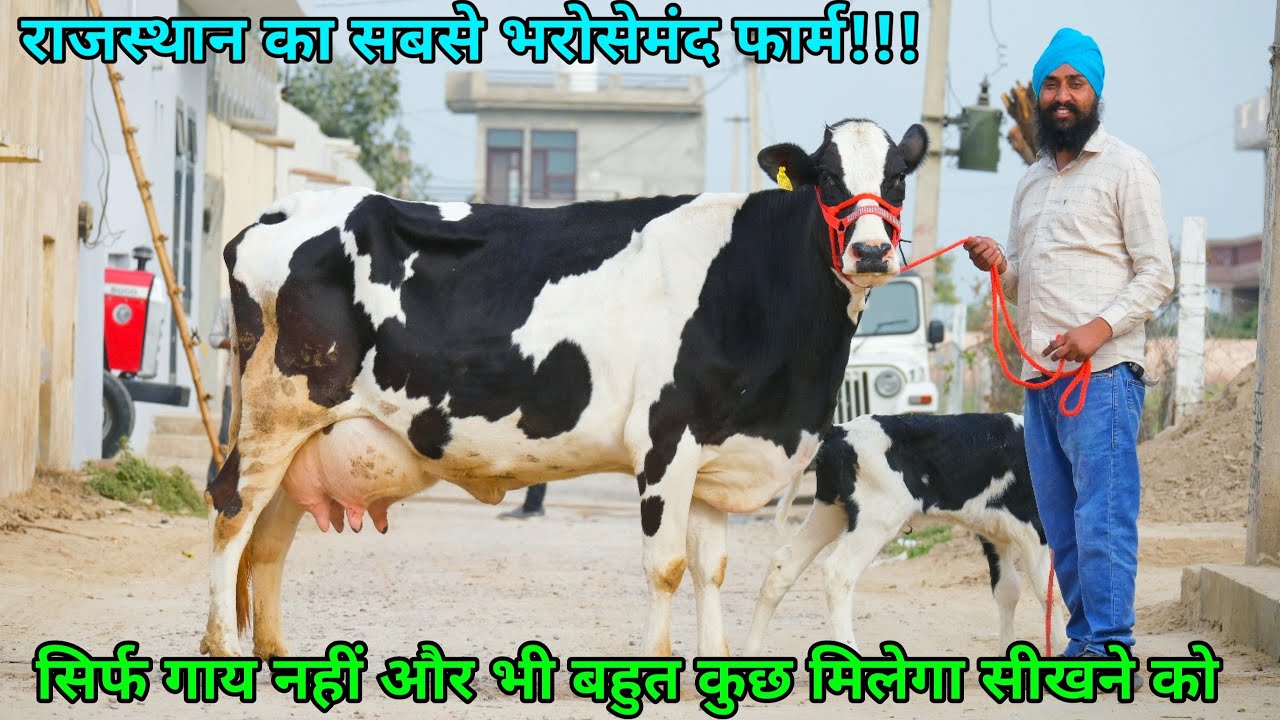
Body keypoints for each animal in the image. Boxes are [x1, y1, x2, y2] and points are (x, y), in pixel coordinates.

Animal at [200, 117, 929, 660]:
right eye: (827, 177)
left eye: (897, 177)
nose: (869, 250)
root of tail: (281, 211)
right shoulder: (665, 440)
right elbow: (665, 566)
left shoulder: (715, 450)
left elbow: (711, 568)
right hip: (273, 411)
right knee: (232, 510)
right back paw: (222, 650)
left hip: (306, 432)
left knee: (270, 534)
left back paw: (275, 654)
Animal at [745, 413, 1068, 655]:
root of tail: (840, 431)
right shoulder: (1035, 529)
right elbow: (1049, 590)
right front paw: (1065, 647)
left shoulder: (995, 533)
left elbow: (1008, 590)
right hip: (877, 518)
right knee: (838, 571)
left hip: (830, 510)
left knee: (784, 563)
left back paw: (752, 652)